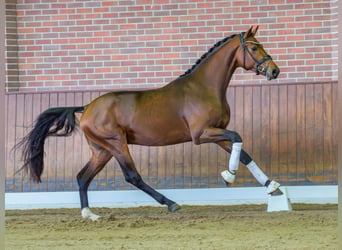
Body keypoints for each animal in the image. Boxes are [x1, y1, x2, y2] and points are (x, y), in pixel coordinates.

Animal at [17, 25, 280, 221]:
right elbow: (238, 138)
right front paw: (229, 175)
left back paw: (89, 214)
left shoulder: (217, 133)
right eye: (254, 47)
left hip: (102, 151)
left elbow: (243, 152)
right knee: (132, 177)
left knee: (83, 177)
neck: (203, 88)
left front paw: (272, 186)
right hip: (117, 144)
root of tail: (88, 107)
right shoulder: (202, 134)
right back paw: (171, 204)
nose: (274, 71)